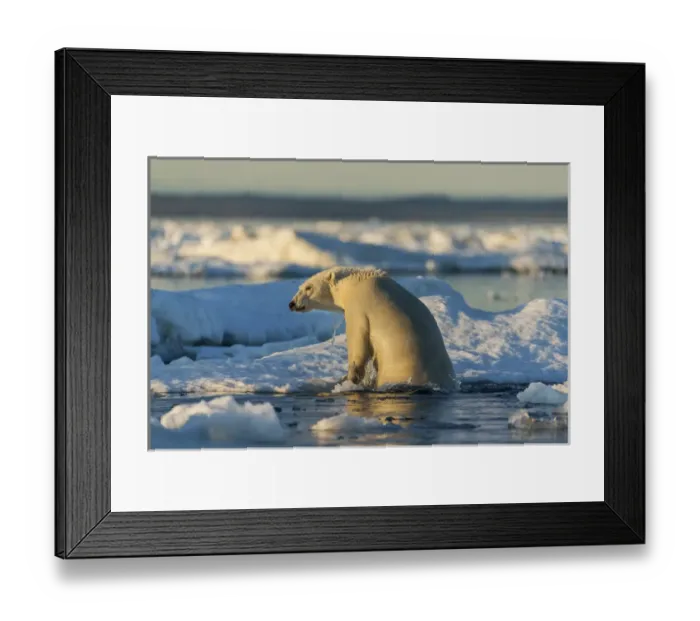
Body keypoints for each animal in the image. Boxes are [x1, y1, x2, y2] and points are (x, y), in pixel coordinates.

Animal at [289, 266, 456, 391]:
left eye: (308, 287)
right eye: (300, 287)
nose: (292, 303)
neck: (354, 282)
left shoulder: (359, 306)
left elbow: (357, 341)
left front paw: (349, 379)